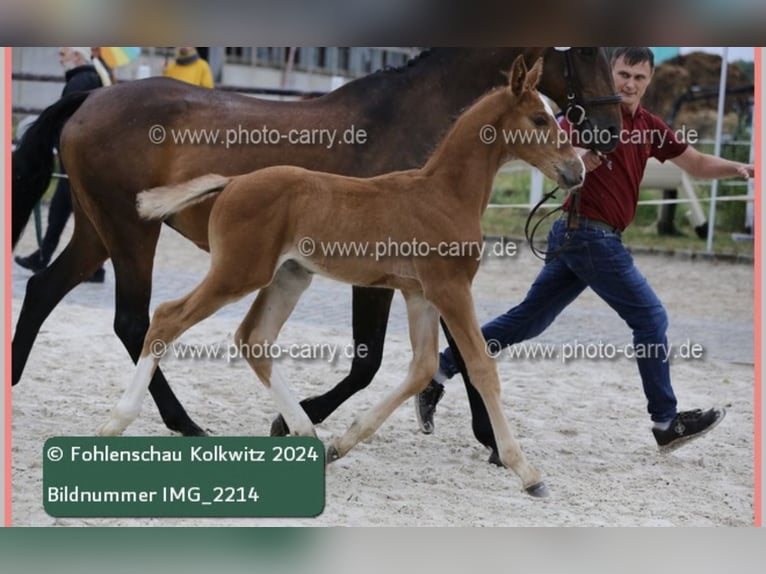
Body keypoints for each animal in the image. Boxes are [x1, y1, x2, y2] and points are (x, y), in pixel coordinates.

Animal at [13, 47, 624, 438]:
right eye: (587, 52)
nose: (605, 139)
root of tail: (90, 100)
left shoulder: (432, 280)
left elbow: (460, 349)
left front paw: (484, 434)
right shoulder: (399, 280)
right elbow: (371, 362)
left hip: (101, 230)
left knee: (46, 289)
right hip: (141, 234)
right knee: (140, 320)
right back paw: (177, 422)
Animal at [99, 57, 584, 500]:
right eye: (540, 118)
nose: (577, 171)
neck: (444, 193)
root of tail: (233, 182)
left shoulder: (420, 294)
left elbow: (423, 366)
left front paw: (340, 445)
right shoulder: (449, 288)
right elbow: (482, 366)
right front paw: (527, 472)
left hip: (288, 277)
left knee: (254, 339)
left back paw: (306, 434)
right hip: (238, 273)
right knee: (167, 318)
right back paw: (117, 422)